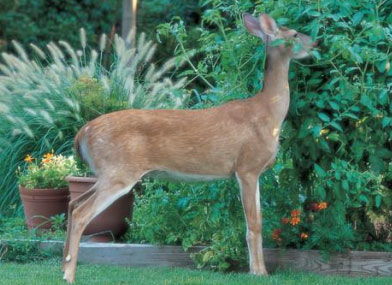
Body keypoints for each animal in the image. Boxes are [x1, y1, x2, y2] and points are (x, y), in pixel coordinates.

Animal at [62, 13, 318, 282]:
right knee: (81, 213)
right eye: (295, 34)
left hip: (106, 173)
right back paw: (69, 275)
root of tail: (83, 132)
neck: (268, 112)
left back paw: (63, 266)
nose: (316, 43)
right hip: (118, 172)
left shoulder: (250, 172)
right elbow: (254, 224)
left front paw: (258, 269)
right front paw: (259, 272)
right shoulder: (247, 167)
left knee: (73, 204)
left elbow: (257, 220)